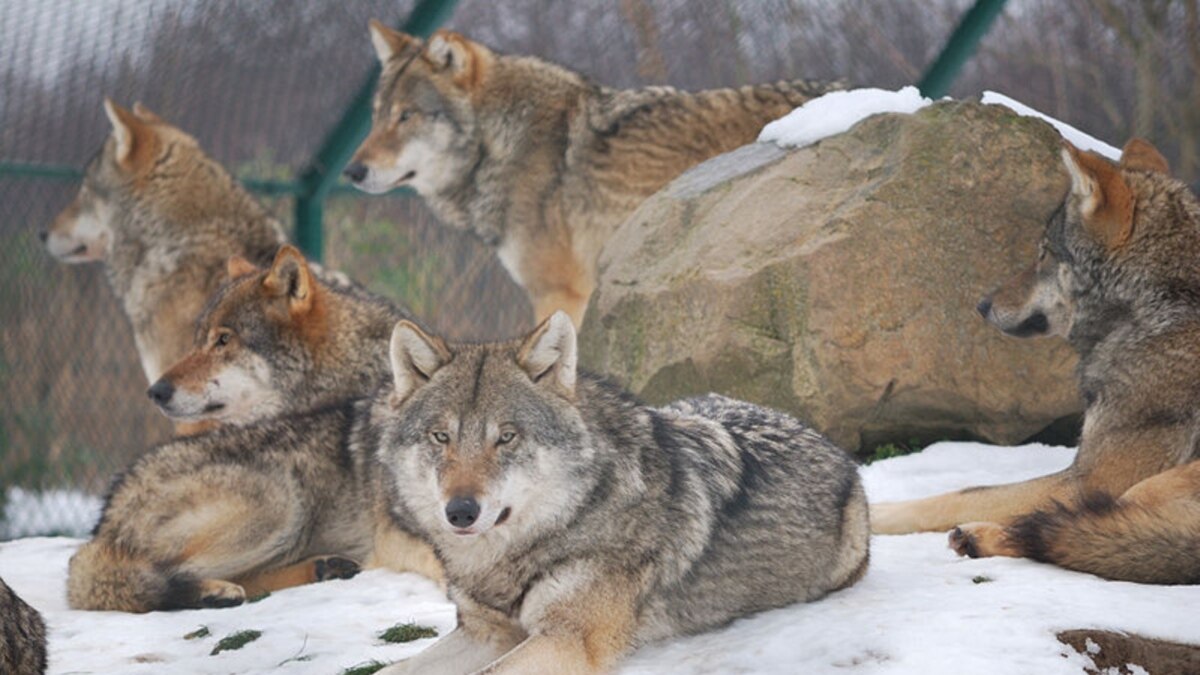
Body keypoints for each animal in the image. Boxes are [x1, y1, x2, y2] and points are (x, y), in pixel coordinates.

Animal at [369, 312, 868, 672]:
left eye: (506, 437)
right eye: (441, 437)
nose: (460, 512)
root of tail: (829, 442)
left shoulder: (568, 641)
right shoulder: (483, 633)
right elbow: (390, 672)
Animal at [873, 138, 1200, 583]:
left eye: (1044, 254)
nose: (982, 305)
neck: (1159, 303)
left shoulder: (1091, 481)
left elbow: (960, 494)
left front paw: (875, 512)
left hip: (1146, 488)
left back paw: (978, 537)